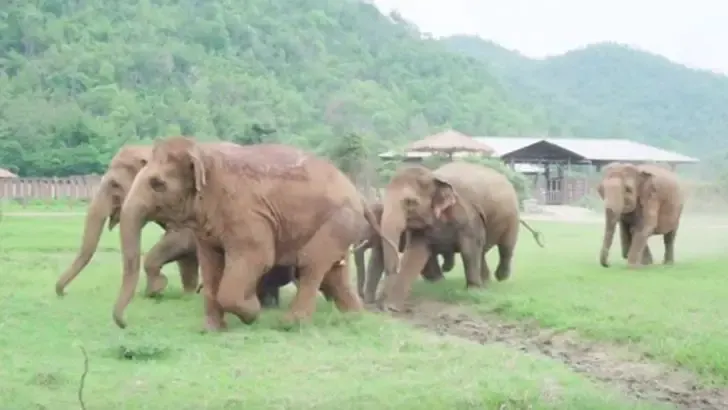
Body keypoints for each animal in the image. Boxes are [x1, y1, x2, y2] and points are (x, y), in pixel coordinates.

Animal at [114, 137, 398, 330]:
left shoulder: (247, 214)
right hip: (341, 224)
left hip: (339, 220)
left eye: (157, 184)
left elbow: (258, 257)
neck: (204, 152)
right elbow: (211, 263)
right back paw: (353, 318)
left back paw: (290, 324)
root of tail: (359, 195)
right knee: (334, 272)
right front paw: (212, 330)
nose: (125, 323)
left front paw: (252, 311)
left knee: (310, 264)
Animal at [376, 163, 540, 310]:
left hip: (512, 216)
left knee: (505, 247)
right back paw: (485, 281)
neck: (435, 176)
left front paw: (473, 291)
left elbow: (468, 250)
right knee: (482, 252)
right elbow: (415, 254)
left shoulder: (468, 215)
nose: (381, 301)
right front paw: (392, 307)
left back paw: (500, 277)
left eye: (411, 202)